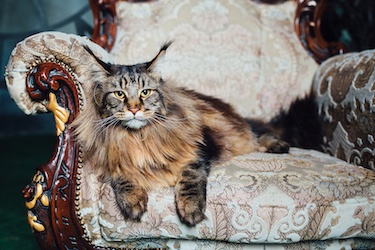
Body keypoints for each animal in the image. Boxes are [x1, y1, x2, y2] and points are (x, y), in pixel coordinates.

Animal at [73, 42, 320, 227]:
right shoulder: (108, 159)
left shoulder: (199, 150)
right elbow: (122, 176)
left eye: (145, 92)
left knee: (257, 136)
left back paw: (278, 145)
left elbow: (189, 178)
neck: (139, 138)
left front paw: (190, 209)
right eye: (119, 94)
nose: (134, 109)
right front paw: (133, 202)